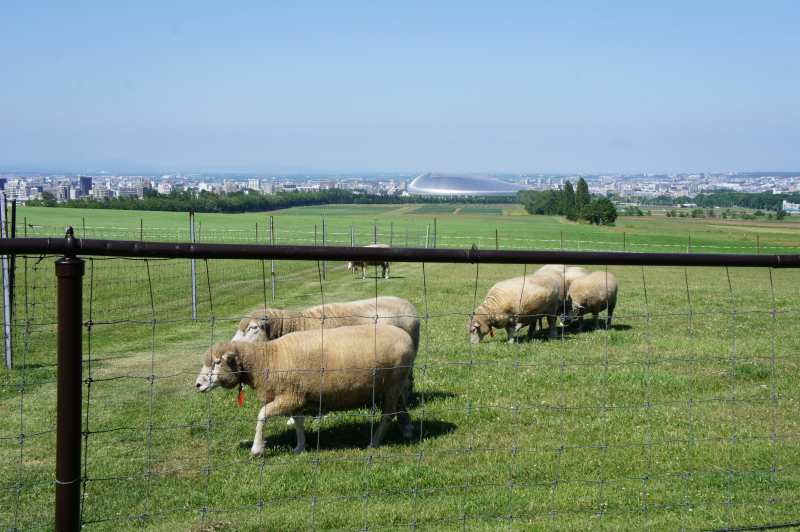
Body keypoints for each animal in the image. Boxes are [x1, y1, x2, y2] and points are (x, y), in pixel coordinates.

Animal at [196, 324, 416, 458]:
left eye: (217, 363)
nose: (197, 385)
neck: (266, 360)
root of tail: (406, 337)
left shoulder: (289, 397)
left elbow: (262, 415)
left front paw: (257, 449)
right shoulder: (296, 396)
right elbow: (299, 423)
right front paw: (300, 447)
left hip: (393, 383)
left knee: (388, 414)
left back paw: (374, 442)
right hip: (392, 384)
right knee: (400, 406)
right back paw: (407, 430)